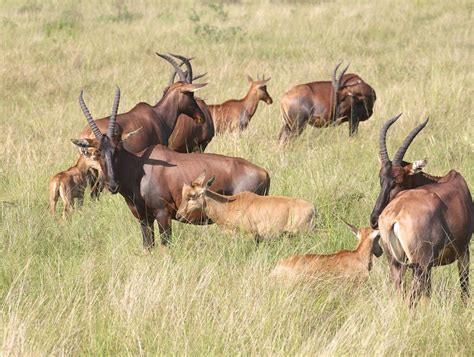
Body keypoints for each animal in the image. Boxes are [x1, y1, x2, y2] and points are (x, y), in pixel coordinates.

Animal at [71, 87, 268, 248]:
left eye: (117, 148)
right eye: (98, 151)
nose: (112, 185)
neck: (140, 169)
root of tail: (264, 173)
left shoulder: (163, 215)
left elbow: (166, 245)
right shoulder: (144, 219)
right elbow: (148, 246)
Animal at [370, 114, 474, 306]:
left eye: (396, 181)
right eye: (381, 179)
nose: (373, 218)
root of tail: (394, 216)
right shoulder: (463, 250)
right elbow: (464, 287)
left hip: (396, 264)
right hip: (420, 265)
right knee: (412, 298)